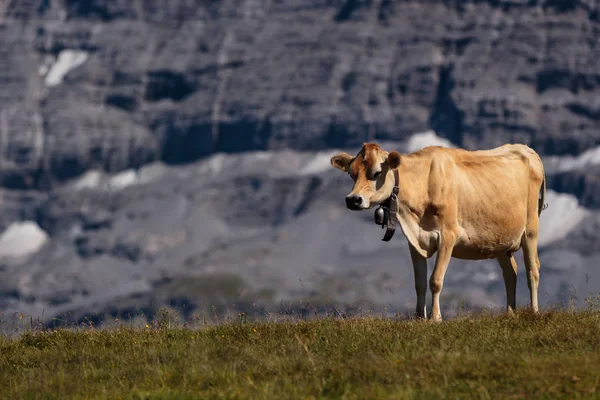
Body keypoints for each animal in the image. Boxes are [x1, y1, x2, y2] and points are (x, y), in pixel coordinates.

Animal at [330, 142, 548, 320]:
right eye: (352, 174)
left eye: (376, 173)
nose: (353, 199)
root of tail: (526, 149)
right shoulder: (414, 240)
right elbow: (419, 282)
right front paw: (419, 318)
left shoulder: (447, 236)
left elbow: (435, 280)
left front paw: (435, 318)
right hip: (499, 239)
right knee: (511, 272)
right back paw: (510, 313)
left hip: (530, 228)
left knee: (533, 269)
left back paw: (534, 311)